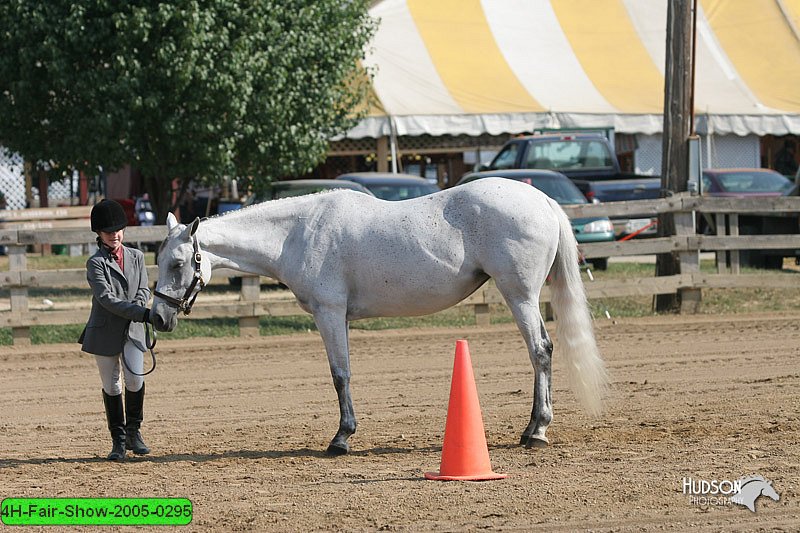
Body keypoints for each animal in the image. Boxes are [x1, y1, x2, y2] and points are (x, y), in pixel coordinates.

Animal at [150, 178, 608, 454]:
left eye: (177, 263)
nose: (157, 318)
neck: (297, 233)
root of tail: (542, 199)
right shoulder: (340, 318)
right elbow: (345, 373)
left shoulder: (329, 313)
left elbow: (340, 375)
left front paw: (341, 439)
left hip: (521, 296)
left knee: (541, 351)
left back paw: (537, 431)